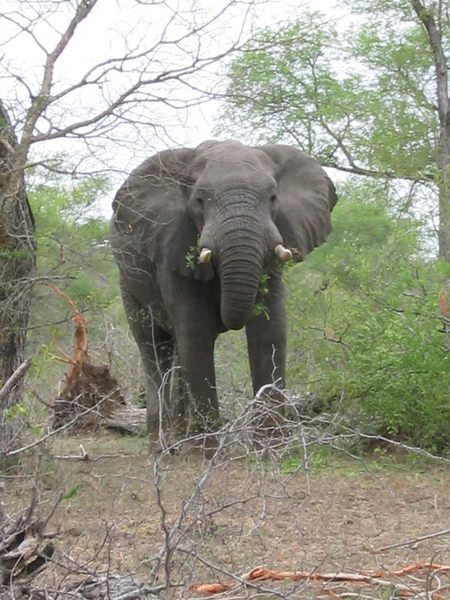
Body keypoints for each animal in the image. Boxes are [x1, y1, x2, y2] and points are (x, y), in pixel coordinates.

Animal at [110, 140, 338, 438]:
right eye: (199, 200)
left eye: (273, 198)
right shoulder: (172, 241)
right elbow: (195, 333)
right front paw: (204, 446)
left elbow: (269, 330)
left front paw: (272, 442)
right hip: (127, 279)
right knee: (153, 347)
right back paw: (164, 443)